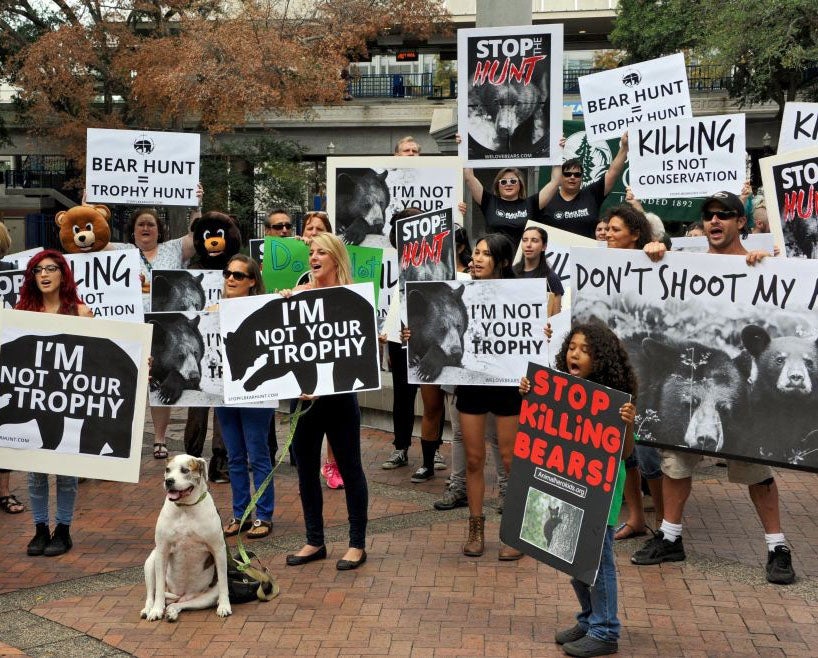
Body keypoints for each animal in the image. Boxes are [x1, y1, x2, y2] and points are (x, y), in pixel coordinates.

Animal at [140, 454, 230, 616]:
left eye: (185, 470)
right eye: (167, 470)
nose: (169, 481)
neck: (185, 508)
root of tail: (181, 595)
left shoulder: (219, 549)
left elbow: (223, 583)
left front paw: (225, 606)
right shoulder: (162, 550)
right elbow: (159, 588)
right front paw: (156, 610)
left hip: (205, 596)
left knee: (184, 603)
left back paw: (172, 611)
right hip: (151, 561)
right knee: (152, 593)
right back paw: (149, 609)